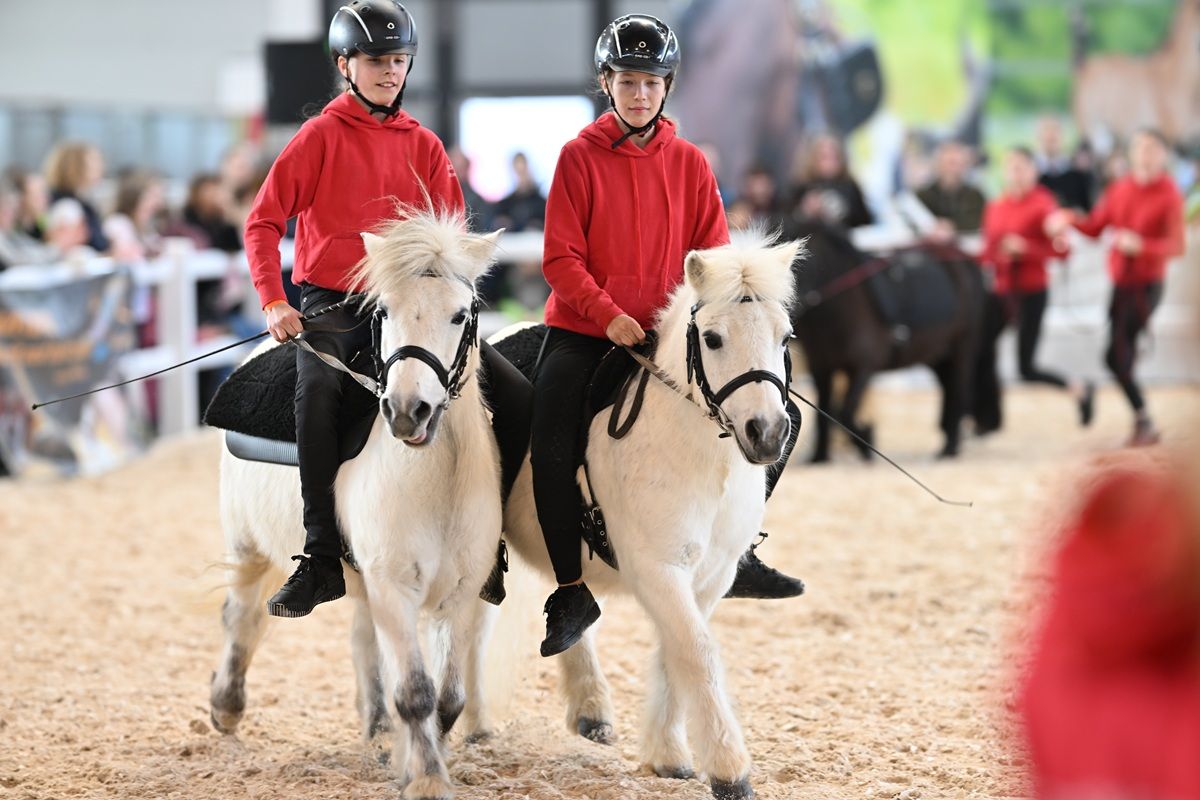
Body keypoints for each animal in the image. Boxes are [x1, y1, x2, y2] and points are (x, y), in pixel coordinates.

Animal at [208, 210, 504, 800]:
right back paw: (226, 706)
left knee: (362, 640)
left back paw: (377, 729)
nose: (408, 411)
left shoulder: (460, 592)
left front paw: (410, 759)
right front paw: (426, 779)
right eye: (384, 310)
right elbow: (415, 692)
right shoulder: (394, 585)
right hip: (247, 543)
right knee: (242, 617)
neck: (439, 479)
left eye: (461, 314)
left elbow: (448, 699)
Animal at [487, 231, 802, 800]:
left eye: (785, 336)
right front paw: (730, 770)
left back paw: (591, 710)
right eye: (713, 339)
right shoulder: (658, 569)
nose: (767, 433)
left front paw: (669, 756)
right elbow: (696, 651)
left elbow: (676, 653)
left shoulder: (711, 575)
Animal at [789, 220, 985, 461]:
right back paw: (948, 444)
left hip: (962, 349)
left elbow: (844, 411)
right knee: (949, 391)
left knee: (958, 392)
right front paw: (820, 457)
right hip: (939, 355)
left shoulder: (863, 367)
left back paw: (950, 448)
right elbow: (824, 412)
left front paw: (866, 441)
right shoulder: (822, 368)